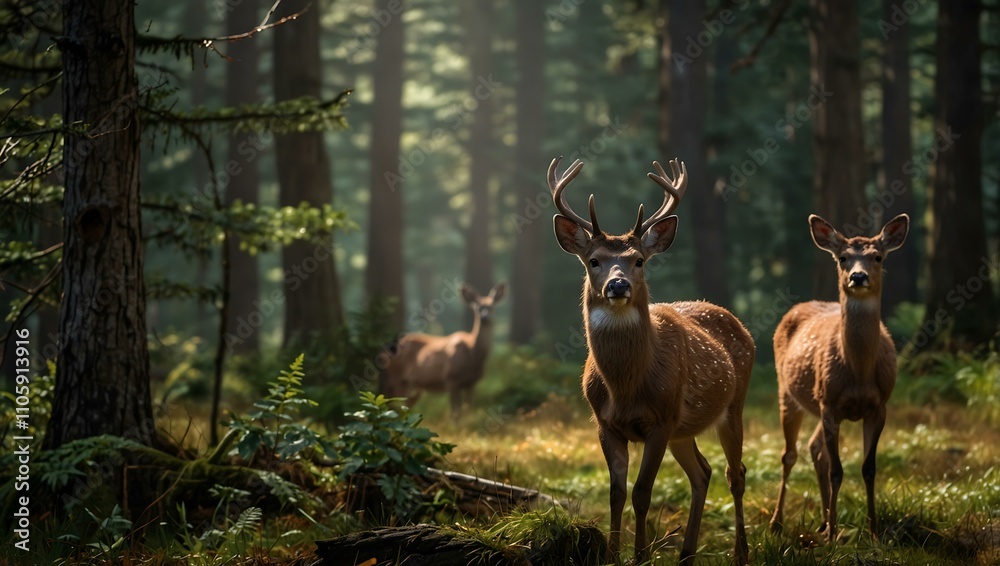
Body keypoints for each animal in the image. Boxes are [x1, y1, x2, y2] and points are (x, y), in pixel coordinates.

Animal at [381, 282, 505, 416]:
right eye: (477, 307)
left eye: (492, 306)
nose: (484, 318)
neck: (473, 352)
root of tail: (385, 351)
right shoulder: (451, 378)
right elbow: (455, 413)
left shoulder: (471, 383)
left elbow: (469, 410)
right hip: (399, 379)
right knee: (394, 405)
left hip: (414, 387)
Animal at [548, 157, 754, 565]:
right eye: (594, 261)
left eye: (639, 261)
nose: (618, 285)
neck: (626, 388)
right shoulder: (605, 423)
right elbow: (616, 493)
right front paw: (613, 555)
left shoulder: (659, 420)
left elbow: (642, 492)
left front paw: (641, 555)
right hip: (683, 428)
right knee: (703, 472)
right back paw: (686, 553)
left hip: (732, 406)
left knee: (734, 472)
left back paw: (741, 552)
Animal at [769, 213, 909, 543]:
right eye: (843, 257)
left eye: (877, 256)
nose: (857, 277)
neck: (858, 371)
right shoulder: (830, 403)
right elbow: (837, 470)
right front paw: (832, 537)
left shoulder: (879, 406)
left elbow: (868, 468)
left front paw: (873, 531)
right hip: (789, 393)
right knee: (790, 454)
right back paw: (778, 523)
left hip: (818, 403)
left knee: (814, 448)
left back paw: (822, 520)